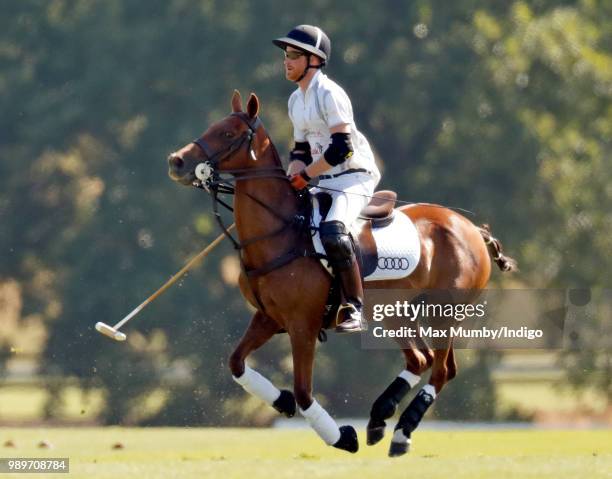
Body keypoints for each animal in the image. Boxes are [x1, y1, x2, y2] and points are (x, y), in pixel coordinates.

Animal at [167, 91, 516, 458]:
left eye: (229, 133)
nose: (176, 162)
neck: (280, 231)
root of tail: (473, 229)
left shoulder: (302, 324)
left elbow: (304, 392)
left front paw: (342, 437)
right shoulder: (269, 317)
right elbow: (237, 363)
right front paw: (283, 401)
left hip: (446, 312)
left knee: (441, 369)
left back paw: (401, 432)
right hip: (394, 311)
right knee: (422, 359)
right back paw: (379, 418)